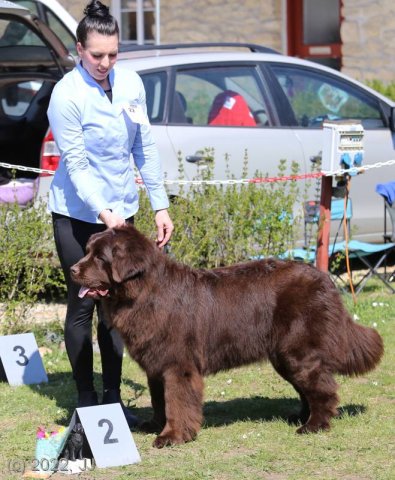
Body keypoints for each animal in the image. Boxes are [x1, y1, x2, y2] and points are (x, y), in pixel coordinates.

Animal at [70, 224, 384, 446]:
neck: (143, 293)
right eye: (87, 251)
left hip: (298, 352)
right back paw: (300, 416)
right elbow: (160, 400)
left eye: (100, 257)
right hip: (283, 356)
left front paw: (172, 436)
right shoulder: (155, 365)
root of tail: (324, 278)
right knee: (308, 387)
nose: (72, 269)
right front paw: (155, 425)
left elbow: (176, 401)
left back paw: (313, 425)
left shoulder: (177, 365)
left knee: (323, 388)